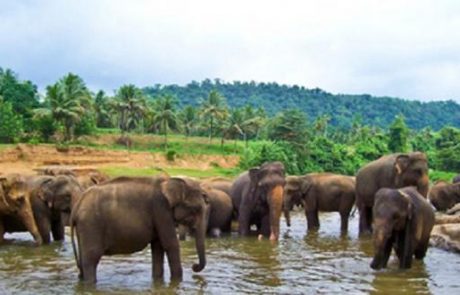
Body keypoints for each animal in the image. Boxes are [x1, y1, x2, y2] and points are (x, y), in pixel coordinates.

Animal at [70, 176, 208, 284]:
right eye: (195, 208)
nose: (194, 266)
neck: (169, 181)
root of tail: (76, 207)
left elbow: (158, 247)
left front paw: (158, 281)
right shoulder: (161, 209)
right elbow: (170, 244)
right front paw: (177, 282)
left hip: (84, 227)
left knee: (83, 260)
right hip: (91, 224)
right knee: (91, 259)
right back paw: (90, 284)